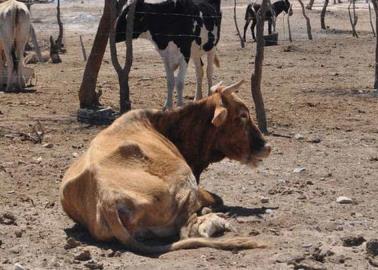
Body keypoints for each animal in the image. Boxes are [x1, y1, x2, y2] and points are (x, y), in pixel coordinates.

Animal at [59, 79, 272, 253]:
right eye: (242, 115)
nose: (267, 146)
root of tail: (107, 198)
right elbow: (216, 199)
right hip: (184, 178)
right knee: (189, 230)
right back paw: (215, 220)